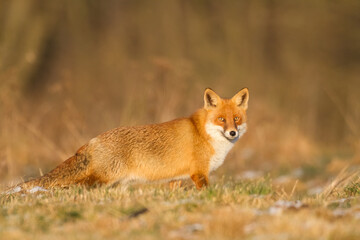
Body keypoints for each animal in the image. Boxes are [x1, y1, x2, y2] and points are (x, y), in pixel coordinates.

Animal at [9, 88, 249, 191]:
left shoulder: (177, 177)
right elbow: (207, 190)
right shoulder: (199, 173)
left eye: (236, 119)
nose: (233, 133)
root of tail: (93, 140)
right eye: (221, 120)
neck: (203, 134)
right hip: (104, 178)